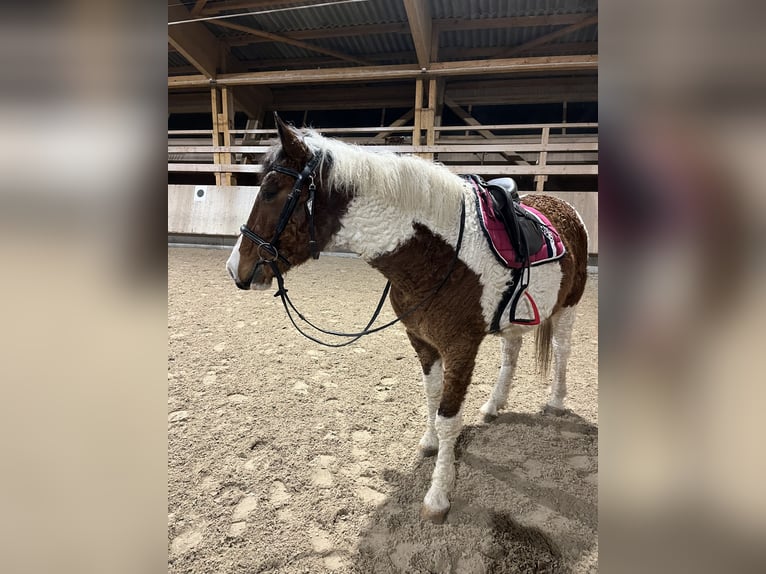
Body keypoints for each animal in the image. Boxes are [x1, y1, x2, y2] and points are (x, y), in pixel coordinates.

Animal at [225, 117, 592, 528]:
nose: (235, 268)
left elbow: (449, 418)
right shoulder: (421, 339)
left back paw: (556, 402)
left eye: (271, 191)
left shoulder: (461, 348)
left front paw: (437, 496)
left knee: (561, 350)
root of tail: (564, 207)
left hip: (568, 307)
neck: (438, 256)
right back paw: (494, 405)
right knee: (511, 353)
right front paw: (430, 443)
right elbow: (431, 396)